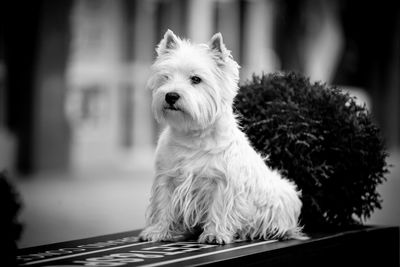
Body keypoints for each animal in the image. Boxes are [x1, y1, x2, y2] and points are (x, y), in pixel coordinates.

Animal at [139, 29, 304, 245]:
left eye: (196, 79)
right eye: (165, 77)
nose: (171, 96)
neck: (193, 135)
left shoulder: (223, 182)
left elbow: (219, 209)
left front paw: (214, 235)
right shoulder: (167, 178)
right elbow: (163, 206)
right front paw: (157, 231)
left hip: (284, 192)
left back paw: (274, 231)